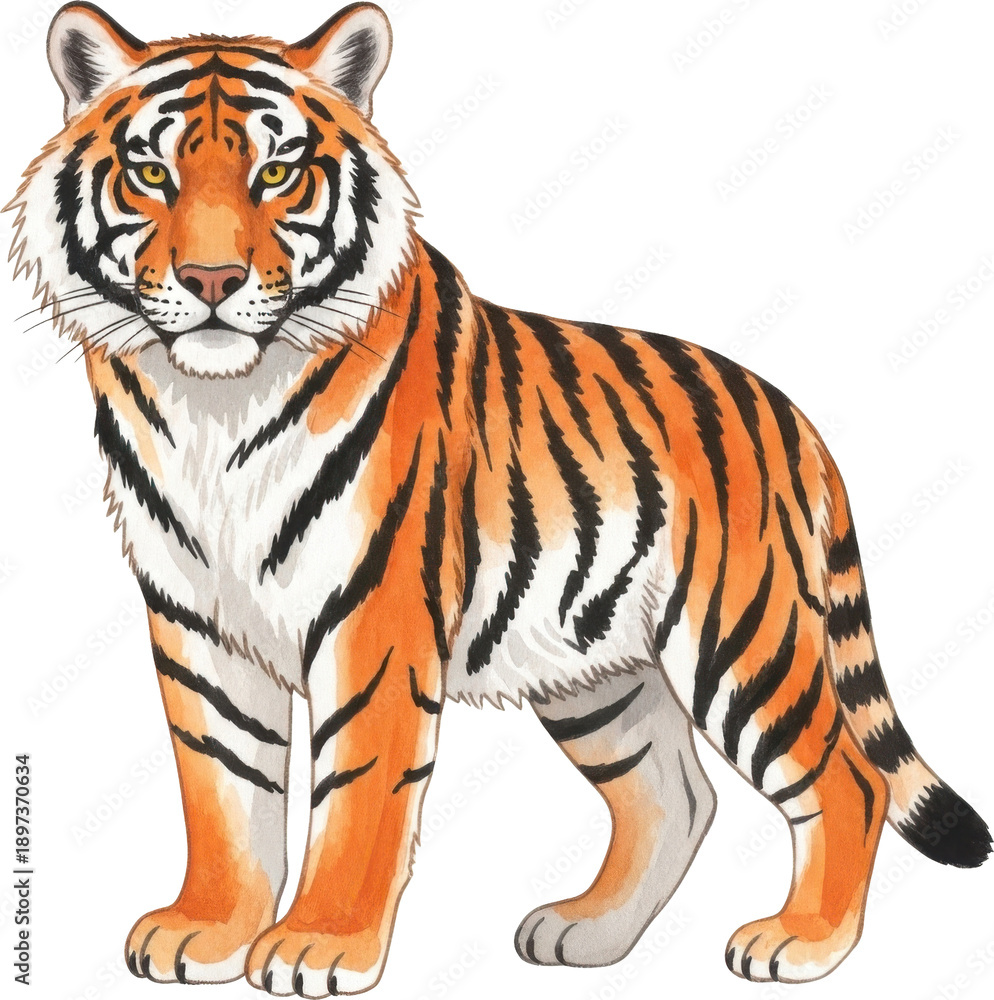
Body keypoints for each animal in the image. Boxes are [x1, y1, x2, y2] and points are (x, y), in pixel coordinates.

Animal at [6, 2, 990, 996]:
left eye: (276, 173)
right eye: (152, 174)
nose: (213, 283)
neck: (211, 408)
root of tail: (789, 414)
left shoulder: (375, 615)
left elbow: (357, 790)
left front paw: (320, 944)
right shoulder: (197, 620)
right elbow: (224, 785)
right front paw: (208, 929)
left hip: (740, 635)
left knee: (849, 779)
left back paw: (800, 941)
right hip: (598, 670)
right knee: (675, 794)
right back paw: (587, 933)